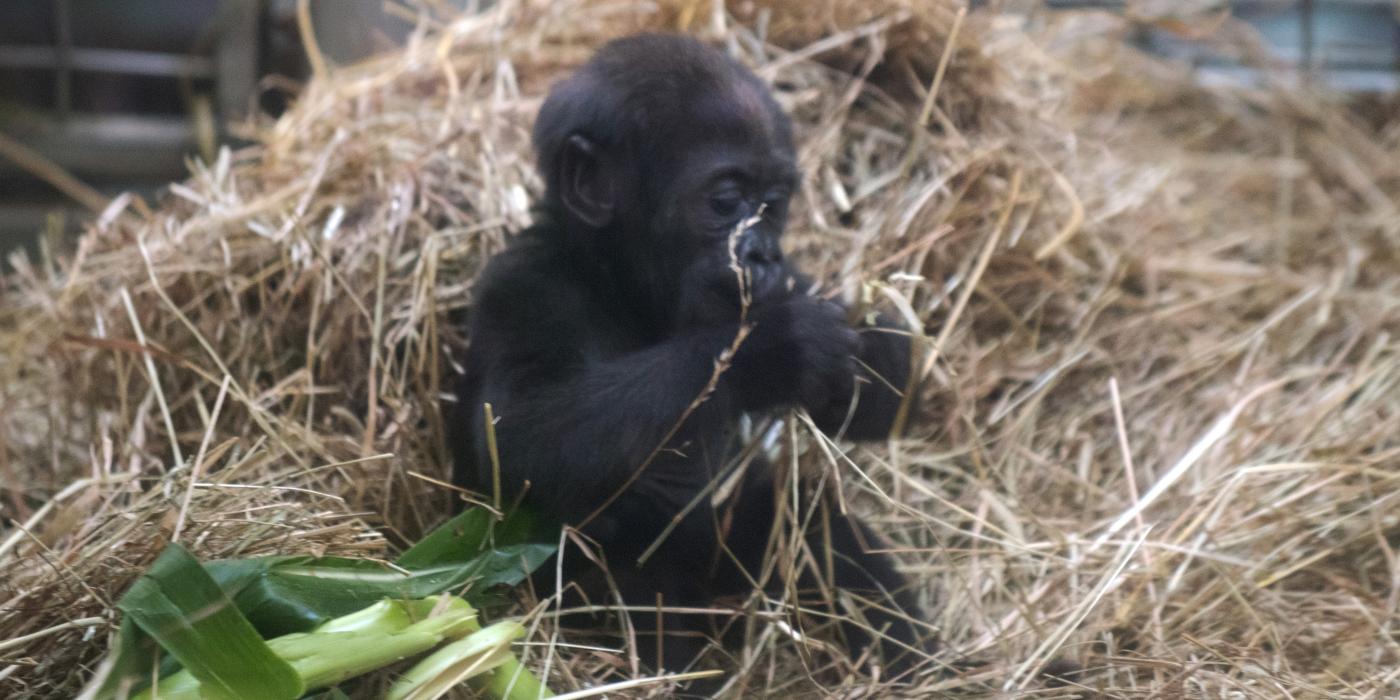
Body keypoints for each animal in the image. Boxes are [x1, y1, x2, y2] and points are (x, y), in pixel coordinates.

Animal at [450, 34, 929, 683]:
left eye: (773, 204)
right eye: (725, 201)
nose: (762, 252)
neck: (615, 279)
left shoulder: (791, 279)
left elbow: (891, 395)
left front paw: (865, 343)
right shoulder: (522, 287)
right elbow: (522, 436)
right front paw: (769, 350)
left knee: (813, 530)